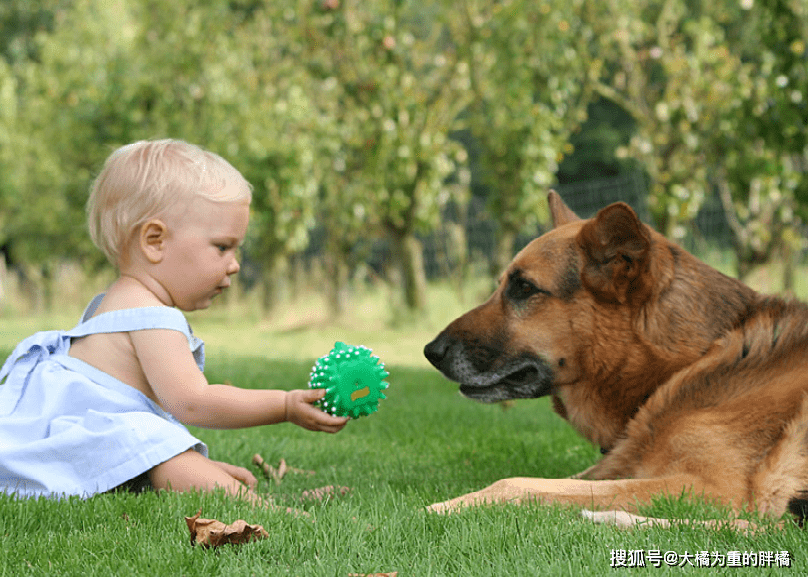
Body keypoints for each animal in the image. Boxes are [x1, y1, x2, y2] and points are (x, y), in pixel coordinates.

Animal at [422, 192, 808, 528]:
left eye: (524, 288)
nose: (430, 352)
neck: (687, 363)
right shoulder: (616, 466)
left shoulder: (710, 488)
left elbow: (516, 482)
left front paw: (441, 507)